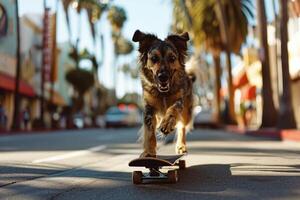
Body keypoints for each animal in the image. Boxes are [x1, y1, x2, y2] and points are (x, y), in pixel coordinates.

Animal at [133, 29, 195, 158]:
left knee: (182, 126)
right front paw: (149, 151)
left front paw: (167, 123)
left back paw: (181, 146)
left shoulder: (179, 101)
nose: (163, 77)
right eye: (154, 58)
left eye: (172, 58)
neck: (163, 94)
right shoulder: (149, 107)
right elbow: (149, 129)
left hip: (187, 113)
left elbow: (173, 109)